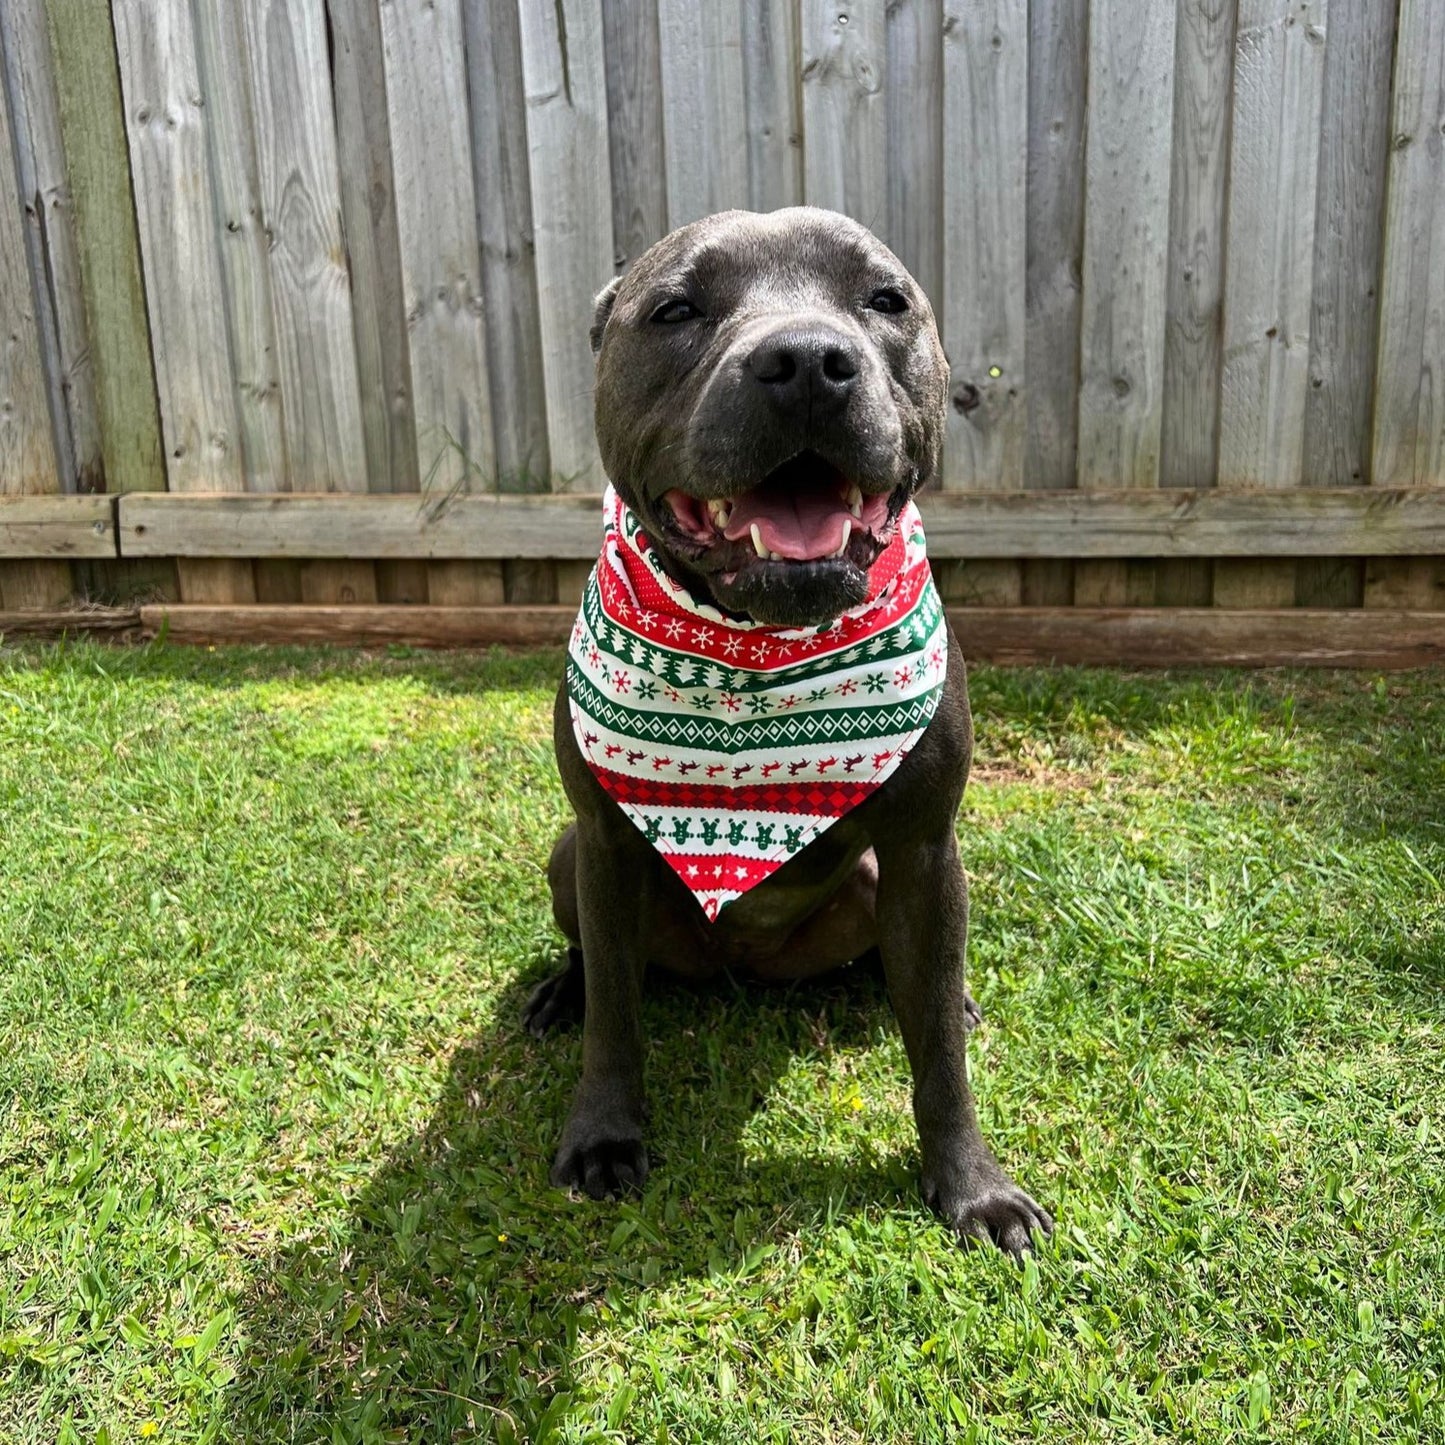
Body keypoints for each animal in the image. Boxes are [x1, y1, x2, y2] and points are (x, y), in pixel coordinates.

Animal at [531, 203, 1051, 1254]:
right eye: (675, 309)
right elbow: (615, 1020)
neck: (755, 652)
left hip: (881, 882)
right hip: (570, 856)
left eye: (885, 300)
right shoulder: (603, 840)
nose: (809, 359)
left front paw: (970, 1184)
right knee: (598, 964)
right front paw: (603, 1135)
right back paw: (562, 989)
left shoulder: (925, 848)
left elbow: (938, 1054)